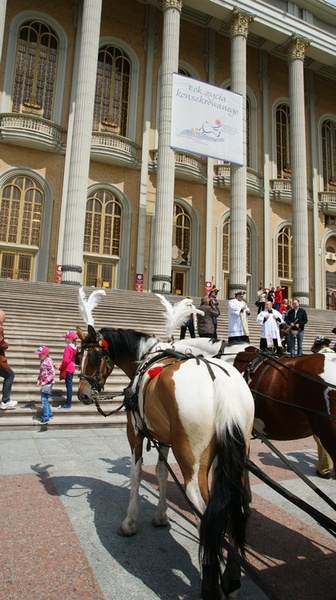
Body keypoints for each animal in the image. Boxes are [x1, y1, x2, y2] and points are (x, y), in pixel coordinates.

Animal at [77, 328, 255, 600]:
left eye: (95, 358)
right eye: (79, 357)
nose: (83, 394)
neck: (146, 358)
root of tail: (220, 384)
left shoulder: (136, 431)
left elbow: (137, 474)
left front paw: (129, 523)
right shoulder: (162, 436)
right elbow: (161, 473)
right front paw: (161, 517)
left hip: (192, 465)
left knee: (208, 520)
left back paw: (210, 587)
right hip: (238, 460)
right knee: (238, 508)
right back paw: (231, 581)